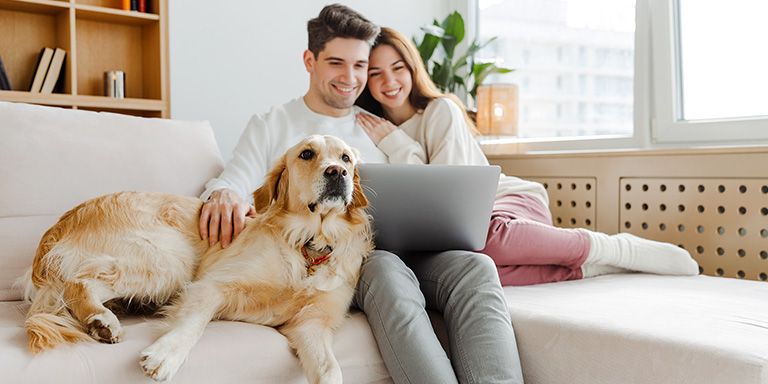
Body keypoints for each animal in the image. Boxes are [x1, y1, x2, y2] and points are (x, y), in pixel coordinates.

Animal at [19, 136, 374, 384]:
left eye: (346, 157)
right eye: (306, 154)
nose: (338, 172)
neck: (310, 243)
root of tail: (61, 223)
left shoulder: (311, 324)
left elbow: (331, 369)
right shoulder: (212, 285)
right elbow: (194, 322)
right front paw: (166, 355)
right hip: (169, 259)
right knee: (77, 283)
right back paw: (100, 320)